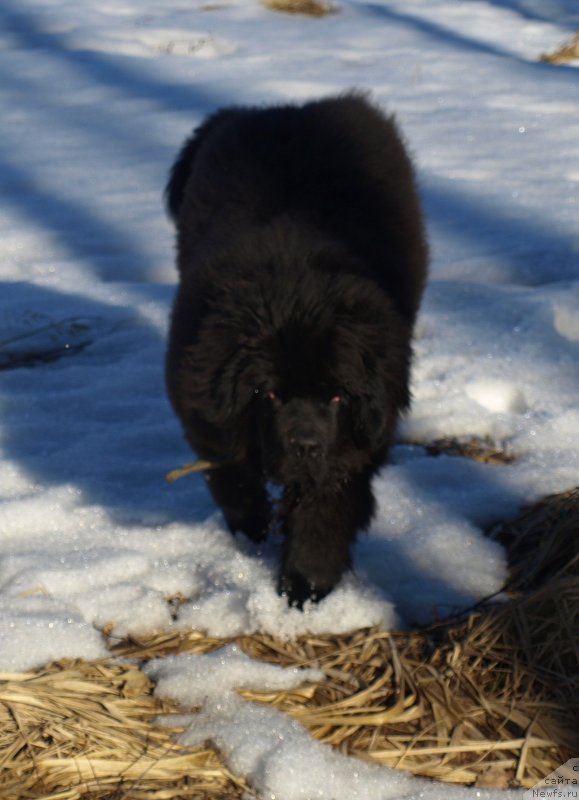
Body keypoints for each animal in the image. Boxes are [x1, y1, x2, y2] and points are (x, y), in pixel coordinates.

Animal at [165, 90, 428, 608]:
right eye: (267, 394)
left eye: (337, 396)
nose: (305, 446)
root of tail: (286, 108)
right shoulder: (202, 404)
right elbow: (228, 469)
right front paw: (252, 525)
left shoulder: (356, 439)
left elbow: (326, 507)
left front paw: (305, 584)